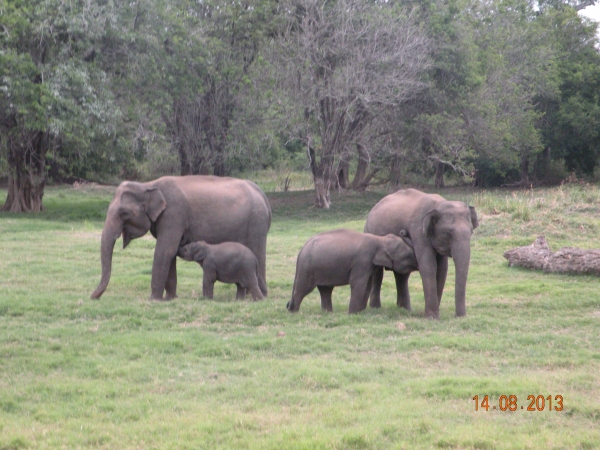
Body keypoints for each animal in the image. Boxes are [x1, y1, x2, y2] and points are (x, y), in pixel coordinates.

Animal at [90, 175, 270, 298]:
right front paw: (170, 299)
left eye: (124, 213)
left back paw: (256, 295)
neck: (148, 185)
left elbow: (165, 251)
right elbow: (170, 254)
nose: (93, 297)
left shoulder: (173, 214)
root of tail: (263, 195)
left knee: (258, 253)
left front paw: (153, 300)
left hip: (256, 223)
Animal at [286, 229, 418, 312]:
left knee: (326, 289)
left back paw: (327, 313)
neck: (379, 240)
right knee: (303, 288)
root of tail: (301, 250)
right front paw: (352, 313)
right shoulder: (362, 261)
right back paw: (294, 312)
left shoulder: (369, 264)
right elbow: (358, 283)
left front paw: (360, 311)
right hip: (307, 268)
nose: (403, 231)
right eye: (408, 255)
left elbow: (367, 284)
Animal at [360, 188, 478, 318]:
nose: (459, 316)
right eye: (447, 233)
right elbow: (428, 266)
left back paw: (405, 309)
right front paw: (432, 317)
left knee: (402, 274)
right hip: (369, 232)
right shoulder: (418, 231)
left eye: (471, 232)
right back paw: (376, 308)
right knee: (378, 272)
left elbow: (442, 269)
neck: (439, 204)